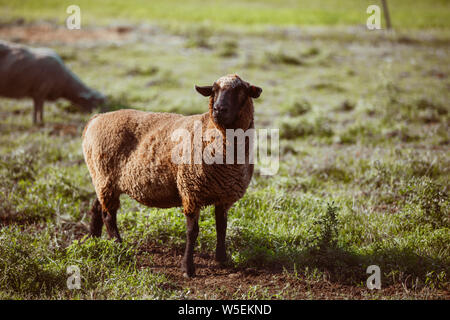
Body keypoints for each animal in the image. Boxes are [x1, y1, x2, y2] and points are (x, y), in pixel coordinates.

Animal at [82, 74, 262, 276]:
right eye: (214, 91)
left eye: (241, 91)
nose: (218, 109)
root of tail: (96, 118)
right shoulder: (190, 190)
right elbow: (193, 231)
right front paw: (187, 268)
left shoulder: (224, 196)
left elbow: (221, 227)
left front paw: (222, 259)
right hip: (105, 177)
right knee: (108, 215)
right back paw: (119, 247)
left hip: (103, 179)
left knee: (97, 207)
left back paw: (94, 240)